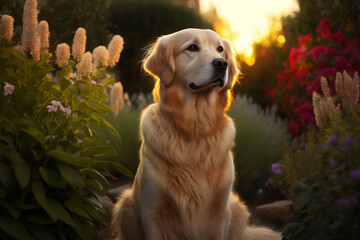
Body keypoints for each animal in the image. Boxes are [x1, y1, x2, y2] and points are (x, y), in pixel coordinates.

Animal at [112, 28, 282, 240]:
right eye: (192, 47)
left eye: (220, 49)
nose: (222, 63)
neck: (195, 127)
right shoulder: (154, 212)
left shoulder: (219, 212)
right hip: (125, 205)